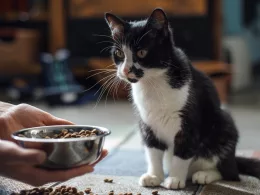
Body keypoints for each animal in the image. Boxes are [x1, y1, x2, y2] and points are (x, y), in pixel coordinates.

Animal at [103, 8, 260, 190]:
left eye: (142, 52)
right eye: (119, 53)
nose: (125, 70)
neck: (153, 83)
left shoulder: (189, 121)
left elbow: (183, 152)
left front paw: (175, 179)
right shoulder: (147, 123)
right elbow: (153, 150)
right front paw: (154, 176)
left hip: (224, 124)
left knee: (230, 173)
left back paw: (204, 175)